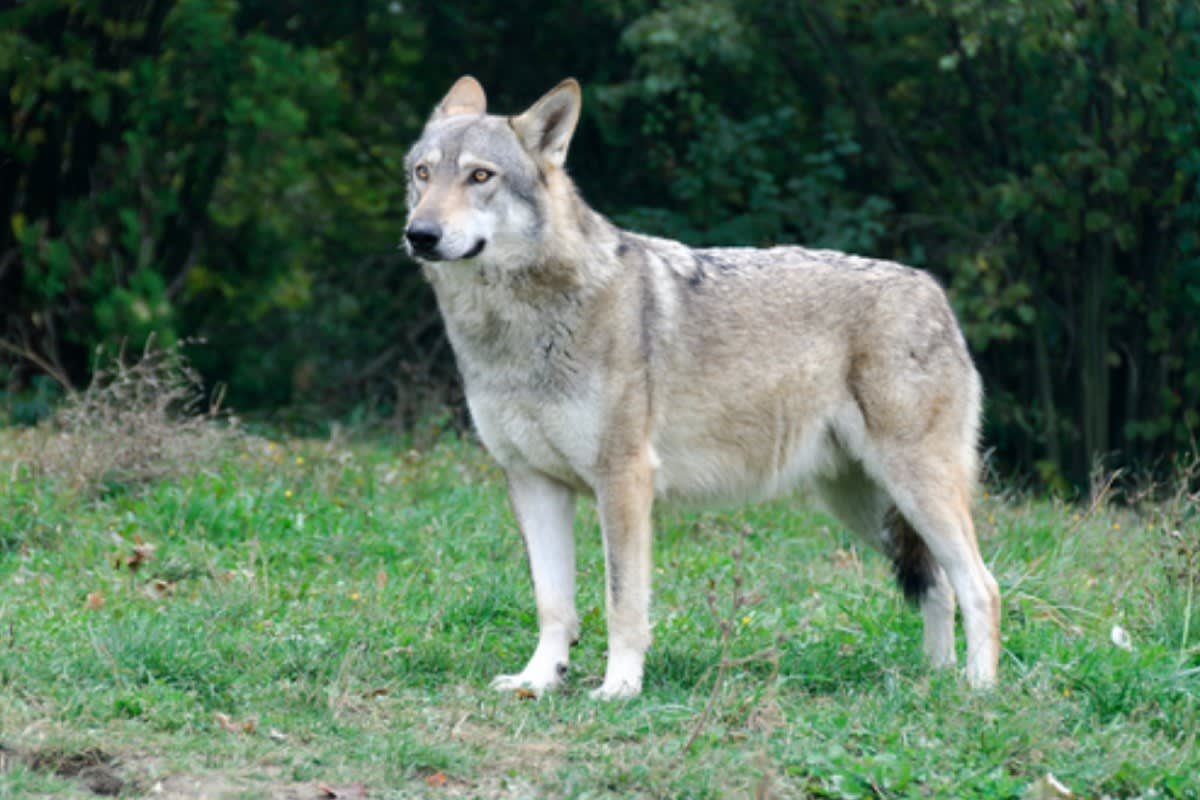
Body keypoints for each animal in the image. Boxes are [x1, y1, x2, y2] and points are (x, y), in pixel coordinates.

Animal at [403, 75, 1001, 699]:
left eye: (480, 176)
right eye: (423, 173)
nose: (420, 234)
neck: (516, 327)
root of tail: (933, 290)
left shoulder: (624, 480)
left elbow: (622, 604)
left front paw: (619, 689)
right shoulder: (532, 482)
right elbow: (553, 604)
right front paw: (538, 681)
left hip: (913, 489)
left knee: (981, 584)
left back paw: (976, 691)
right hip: (866, 506)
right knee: (938, 585)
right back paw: (931, 682)